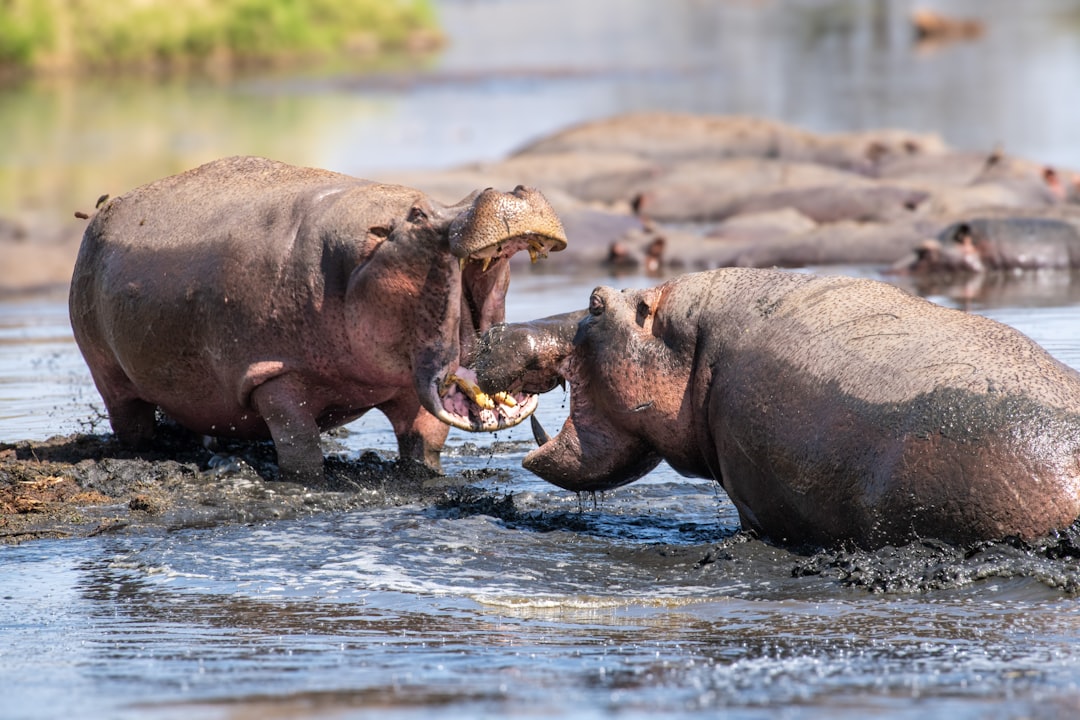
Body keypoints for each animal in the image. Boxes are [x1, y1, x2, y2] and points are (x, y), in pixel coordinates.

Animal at [69, 156, 567, 481]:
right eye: (418, 214)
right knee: (131, 421)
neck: (360, 256)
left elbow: (424, 445)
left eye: (428, 202)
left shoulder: (410, 385)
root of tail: (98, 214)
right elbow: (301, 448)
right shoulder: (274, 376)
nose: (507, 191)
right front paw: (308, 480)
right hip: (108, 375)